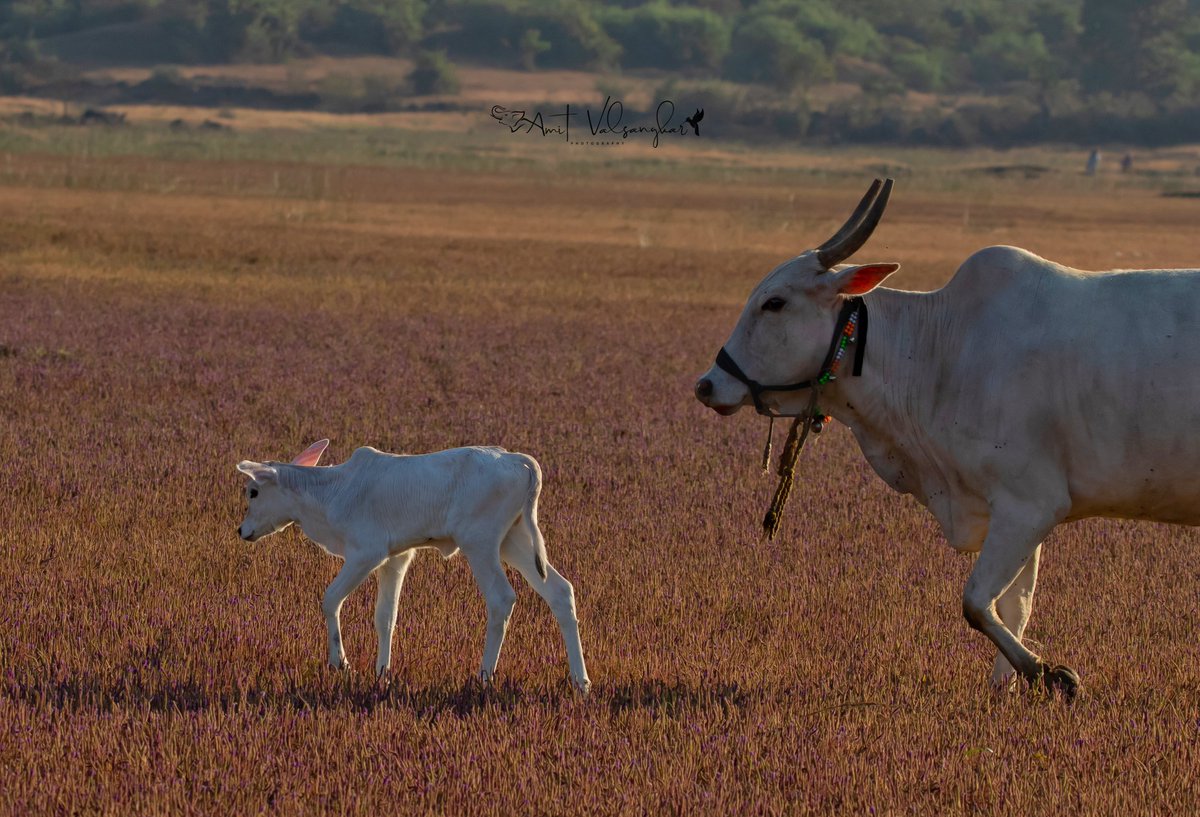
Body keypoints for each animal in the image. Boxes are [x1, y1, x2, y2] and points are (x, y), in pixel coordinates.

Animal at [235, 439, 590, 686]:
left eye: (253, 492)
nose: (242, 531)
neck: (331, 492)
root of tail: (520, 461)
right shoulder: (396, 559)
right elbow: (385, 616)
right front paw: (382, 672)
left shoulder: (367, 553)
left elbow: (330, 599)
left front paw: (341, 663)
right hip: (514, 541)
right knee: (560, 591)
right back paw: (580, 681)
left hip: (480, 542)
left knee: (502, 599)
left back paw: (484, 676)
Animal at [700, 176, 1200, 695]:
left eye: (774, 302)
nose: (707, 385)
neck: (942, 349)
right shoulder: (1016, 512)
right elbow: (1013, 607)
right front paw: (1007, 688)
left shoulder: (1030, 504)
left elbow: (977, 604)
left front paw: (1048, 673)